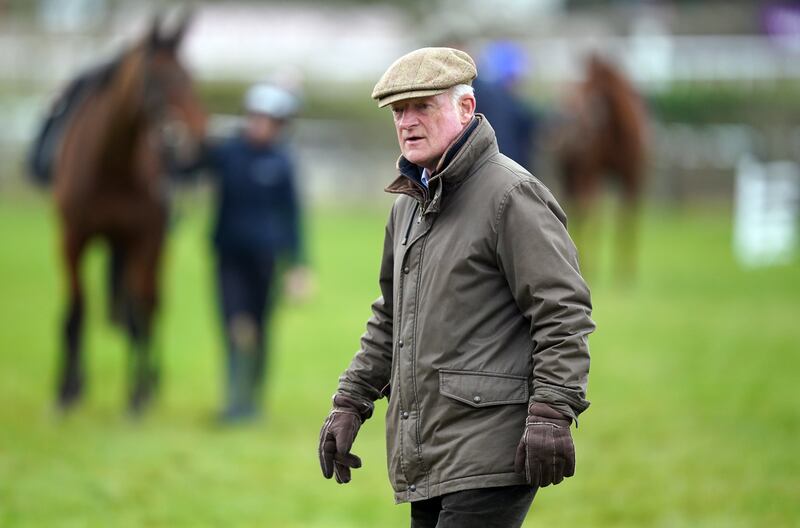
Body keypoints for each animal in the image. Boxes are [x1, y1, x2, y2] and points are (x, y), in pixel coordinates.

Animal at [50, 15, 206, 412]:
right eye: (159, 78)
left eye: (190, 74)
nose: (199, 136)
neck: (112, 164)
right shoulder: (71, 237)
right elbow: (76, 309)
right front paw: (66, 391)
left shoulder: (145, 239)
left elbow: (139, 312)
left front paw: (137, 396)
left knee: (151, 305)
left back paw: (151, 382)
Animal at [556, 54, 648, 280]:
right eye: (582, 87)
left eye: (593, 90)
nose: (573, 134)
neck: (618, 132)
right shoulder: (591, 171)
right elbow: (594, 211)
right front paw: (593, 266)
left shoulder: (633, 175)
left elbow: (627, 214)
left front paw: (627, 271)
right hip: (575, 174)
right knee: (581, 209)